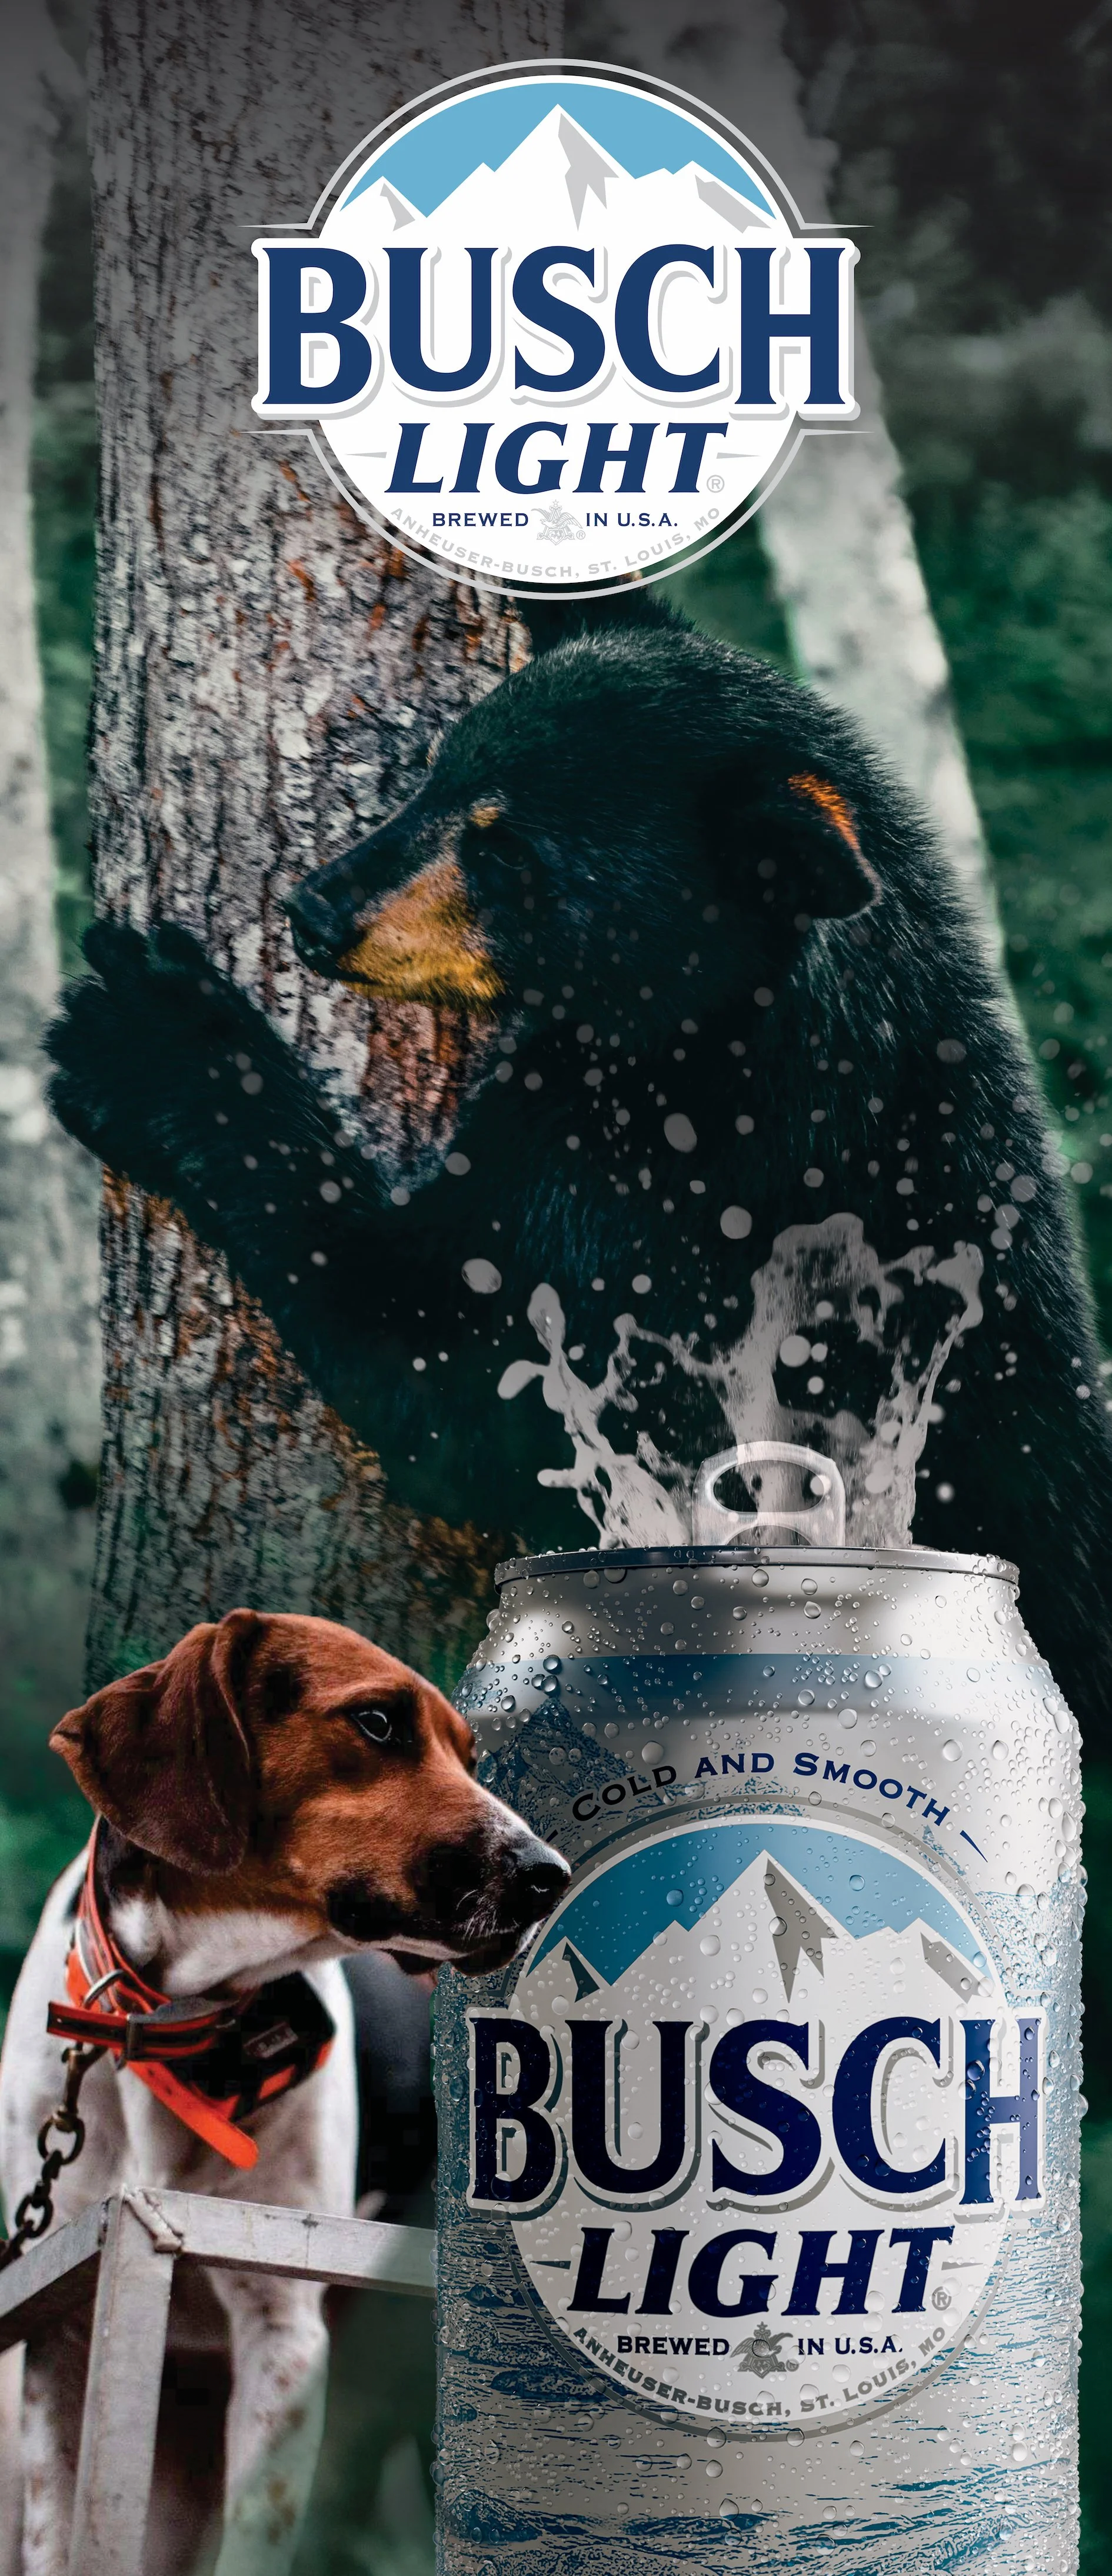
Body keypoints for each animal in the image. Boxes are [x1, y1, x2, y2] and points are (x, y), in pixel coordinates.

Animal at [46, 598, 1112, 1745]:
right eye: (437, 775)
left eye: (510, 851)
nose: (316, 911)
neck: (722, 1030)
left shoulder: (671, 1211)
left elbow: (453, 1357)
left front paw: (146, 1033)